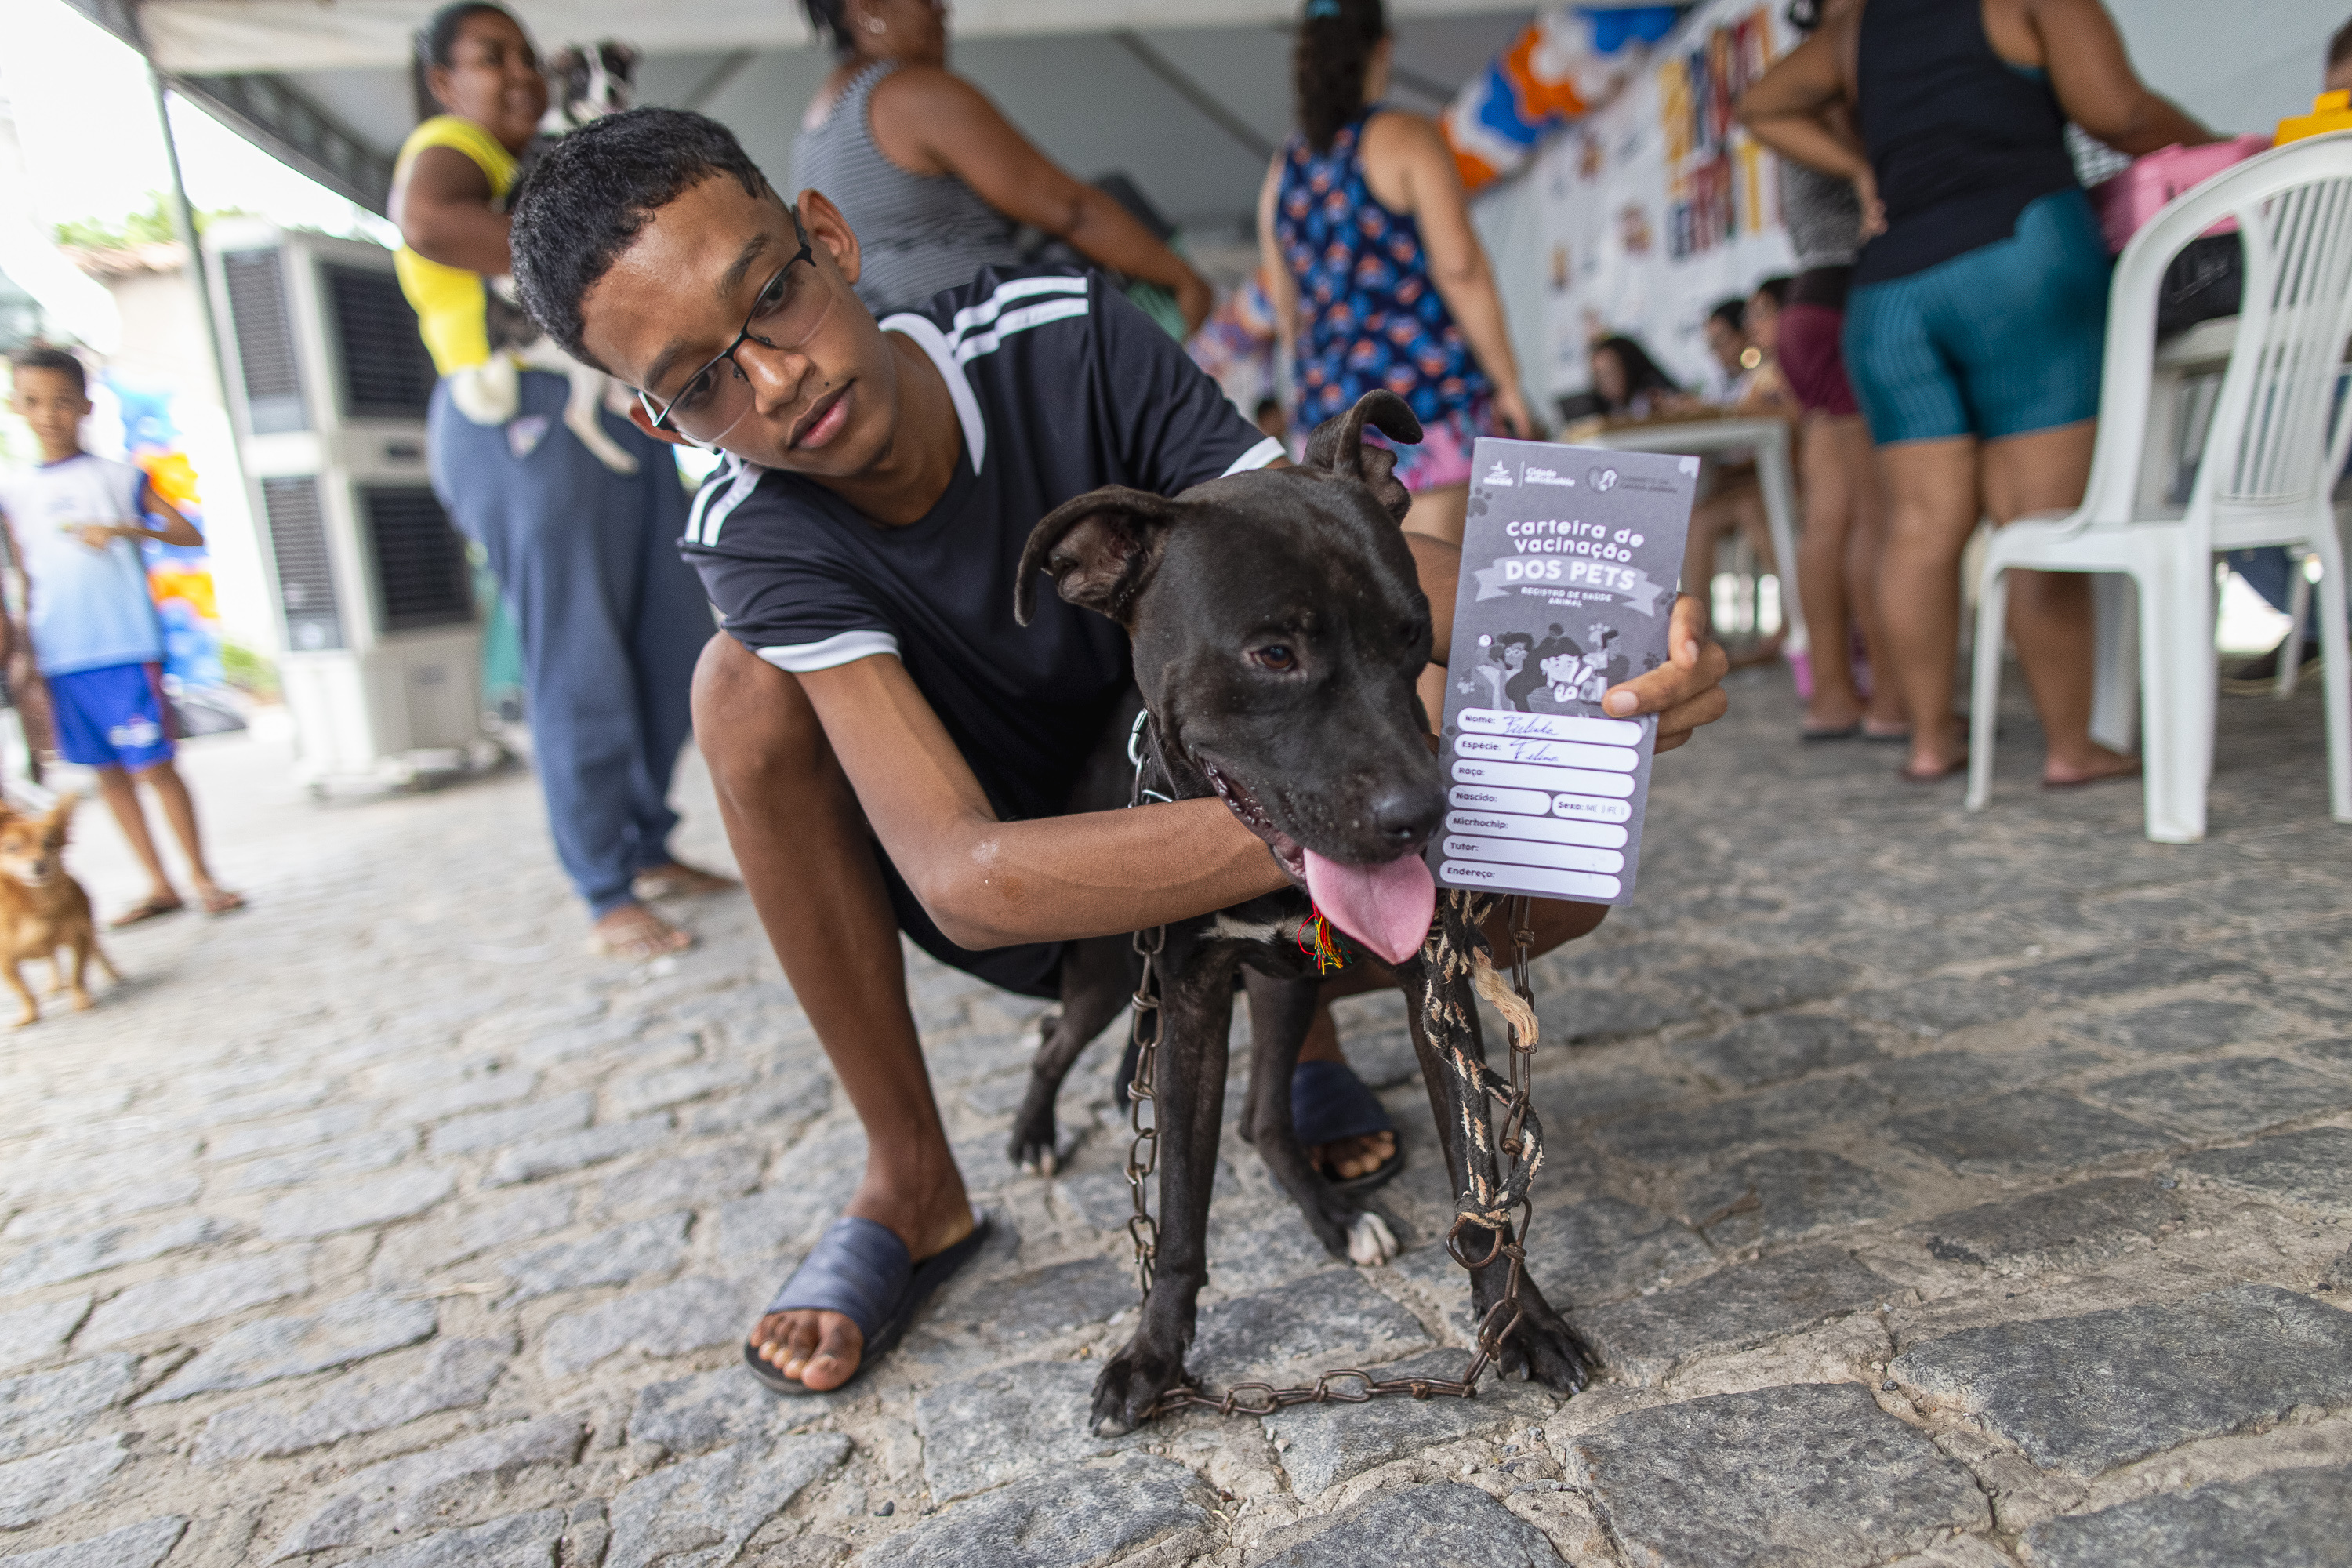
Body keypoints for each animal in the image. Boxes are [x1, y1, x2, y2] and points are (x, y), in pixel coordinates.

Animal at [0, 799, 118, 1029]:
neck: (35, 905)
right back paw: (55, 984)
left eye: (49, 843)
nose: (39, 864)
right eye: (12, 848)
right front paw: (29, 1017)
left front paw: (82, 1001)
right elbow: (24, 993)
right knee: (52, 959)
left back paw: (115, 975)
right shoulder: (6, 962)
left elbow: (77, 976)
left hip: (88, 930)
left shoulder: (80, 941)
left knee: (97, 951)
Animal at [1016, 392, 1590, 1439]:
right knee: (1058, 1034)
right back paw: (1035, 1130)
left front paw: (1520, 1321)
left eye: (1414, 635)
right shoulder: (1189, 997)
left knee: (1261, 1117)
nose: (1424, 815)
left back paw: (1334, 1215)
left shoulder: (1432, 983)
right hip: (1111, 967)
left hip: (1284, 990)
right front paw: (1153, 1356)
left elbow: (1479, 1182)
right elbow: (1180, 1206)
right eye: (1273, 653)